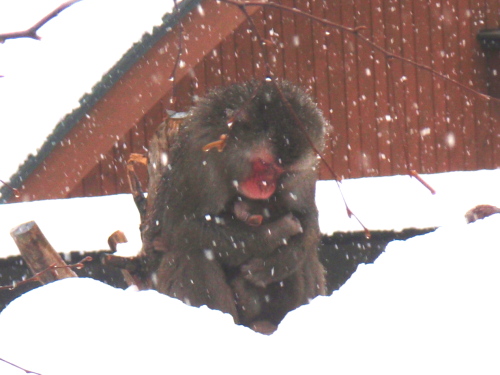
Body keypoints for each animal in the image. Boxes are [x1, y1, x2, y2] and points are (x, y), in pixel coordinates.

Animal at [147, 81, 328, 334]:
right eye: (264, 163)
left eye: (281, 171)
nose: (265, 185)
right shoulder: (200, 158)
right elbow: (179, 227)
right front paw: (274, 233)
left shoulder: (306, 168)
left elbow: (307, 217)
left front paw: (278, 262)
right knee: (191, 250)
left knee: (306, 254)